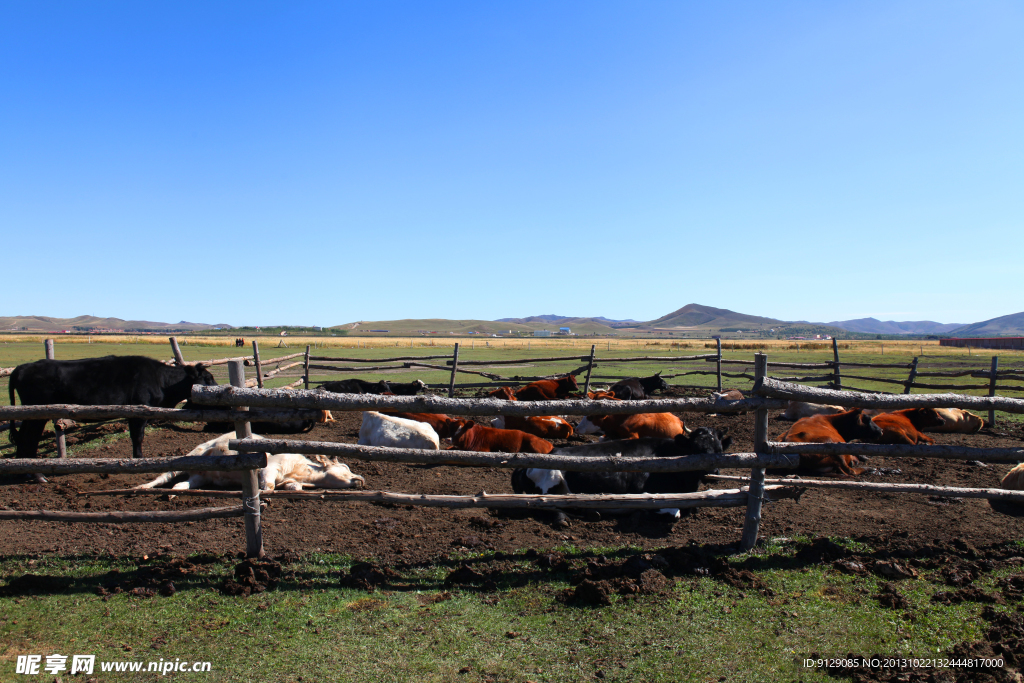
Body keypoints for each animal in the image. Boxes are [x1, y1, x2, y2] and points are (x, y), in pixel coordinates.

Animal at [8, 358, 217, 458]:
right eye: (208, 378)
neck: (161, 380)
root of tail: (20, 368)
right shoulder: (138, 413)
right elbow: (138, 438)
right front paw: (139, 458)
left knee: (24, 439)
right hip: (36, 414)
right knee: (28, 439)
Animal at [137, 432, 364, 491]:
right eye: (345, 468)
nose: (361, 478)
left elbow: (294, 488)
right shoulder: (269, 468)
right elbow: (269, 486)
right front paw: (262, 493)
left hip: (199, 478)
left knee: (180, 485)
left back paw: (173, 493)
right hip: (192, 455)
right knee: (166, 475)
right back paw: (142, 487)